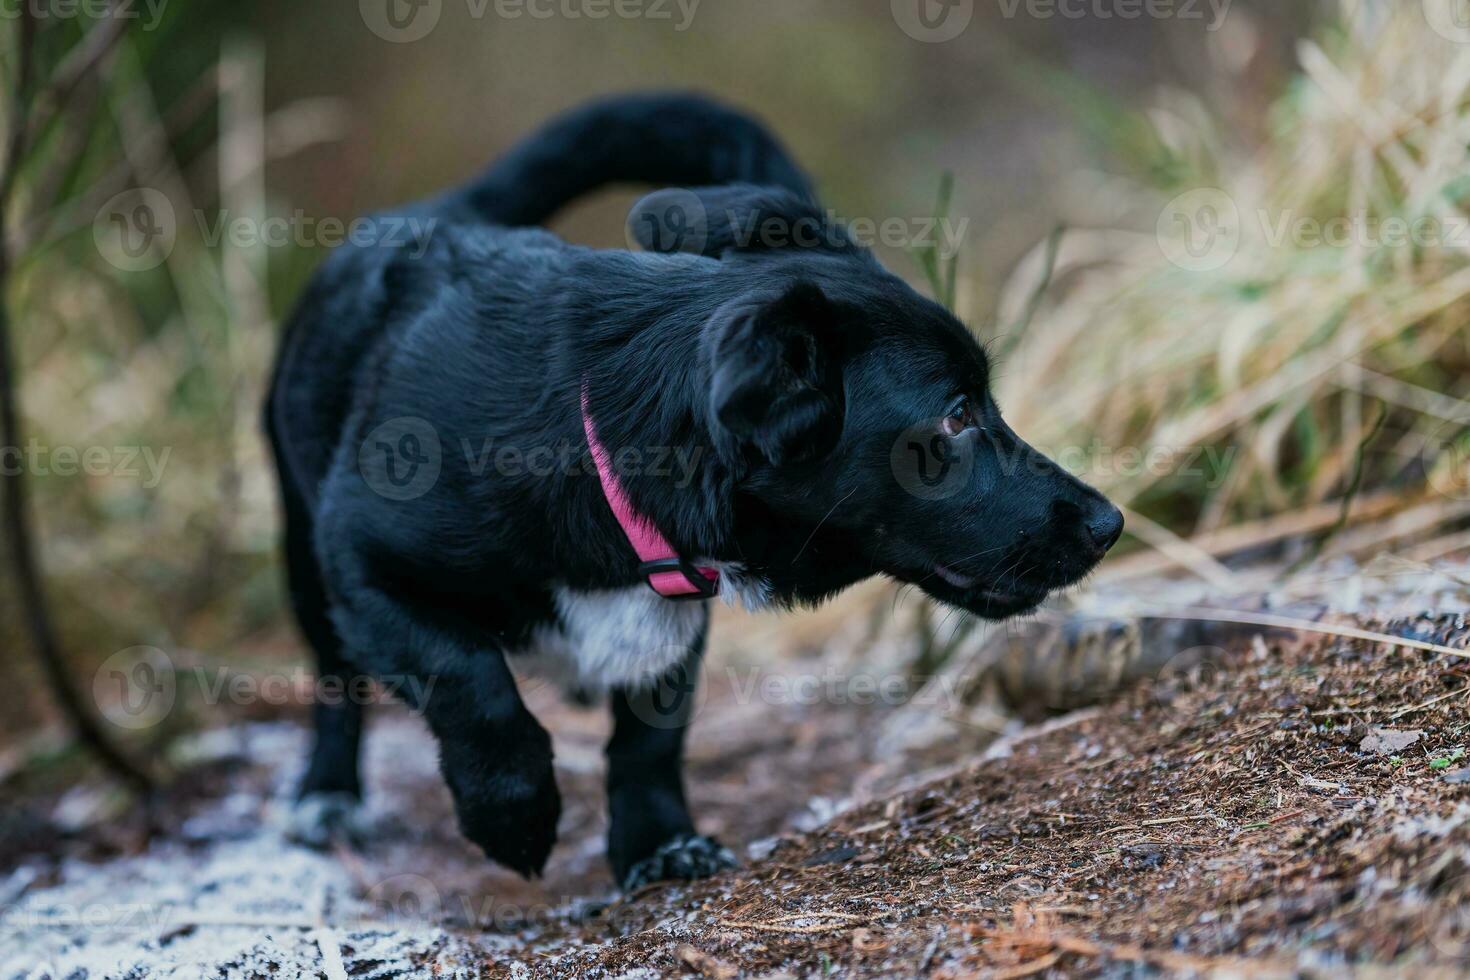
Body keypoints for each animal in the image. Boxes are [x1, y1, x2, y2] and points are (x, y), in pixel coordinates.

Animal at [264, 91, 1117, 887]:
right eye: (956, 415)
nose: (1108, 523)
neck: (594, 440)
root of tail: (442, 209)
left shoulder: (675, 608)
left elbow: (651, 733)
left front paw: (658, 842)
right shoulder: (362, 562)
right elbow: (470, 679)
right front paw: (514, 816)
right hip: (304, 558)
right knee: (336, 679)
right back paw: (326, 795)